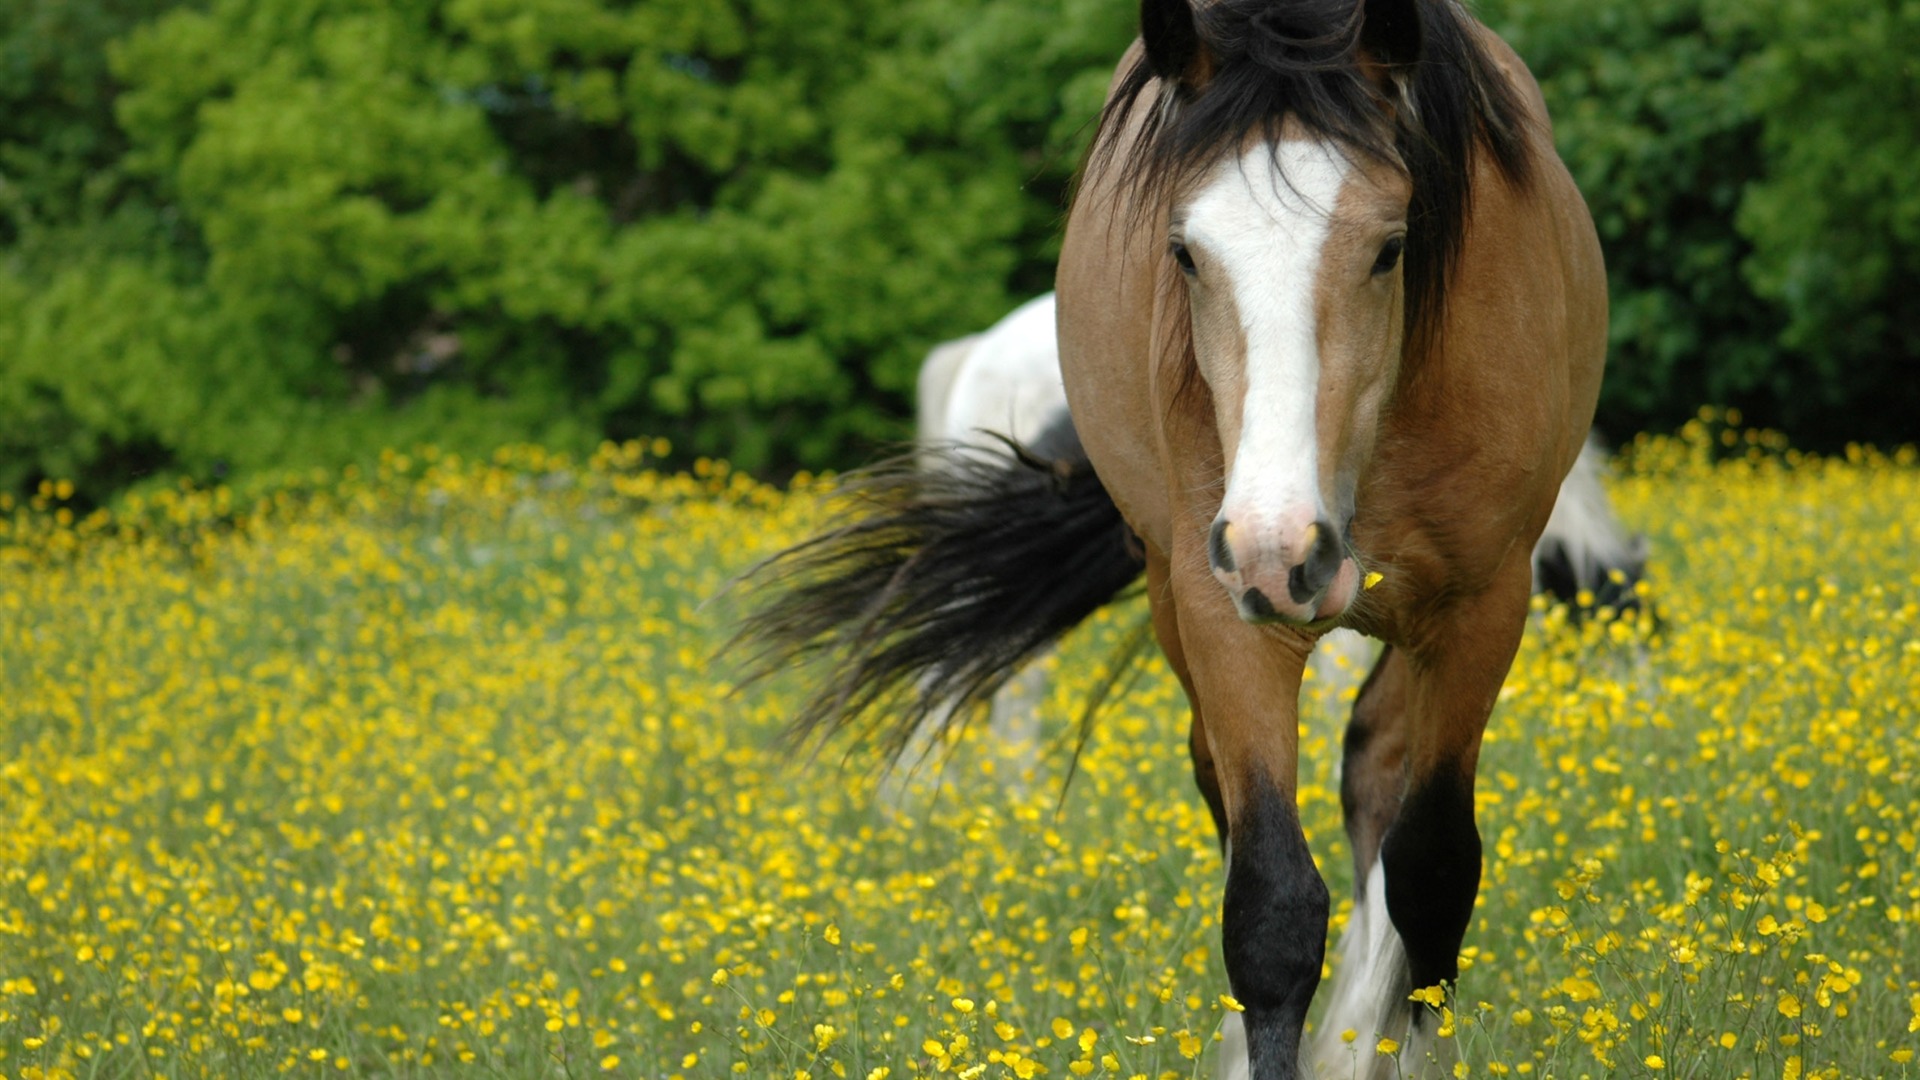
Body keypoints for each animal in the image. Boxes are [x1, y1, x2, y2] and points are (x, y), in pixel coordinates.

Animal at [741, 0, 1612, 1068]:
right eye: (1187, 252)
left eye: (1390, 246)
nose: (1283, 548)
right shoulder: (1226, 610)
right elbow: (1270, 907)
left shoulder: (1481, 607)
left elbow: (1432, 872)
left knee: (1376, 772)